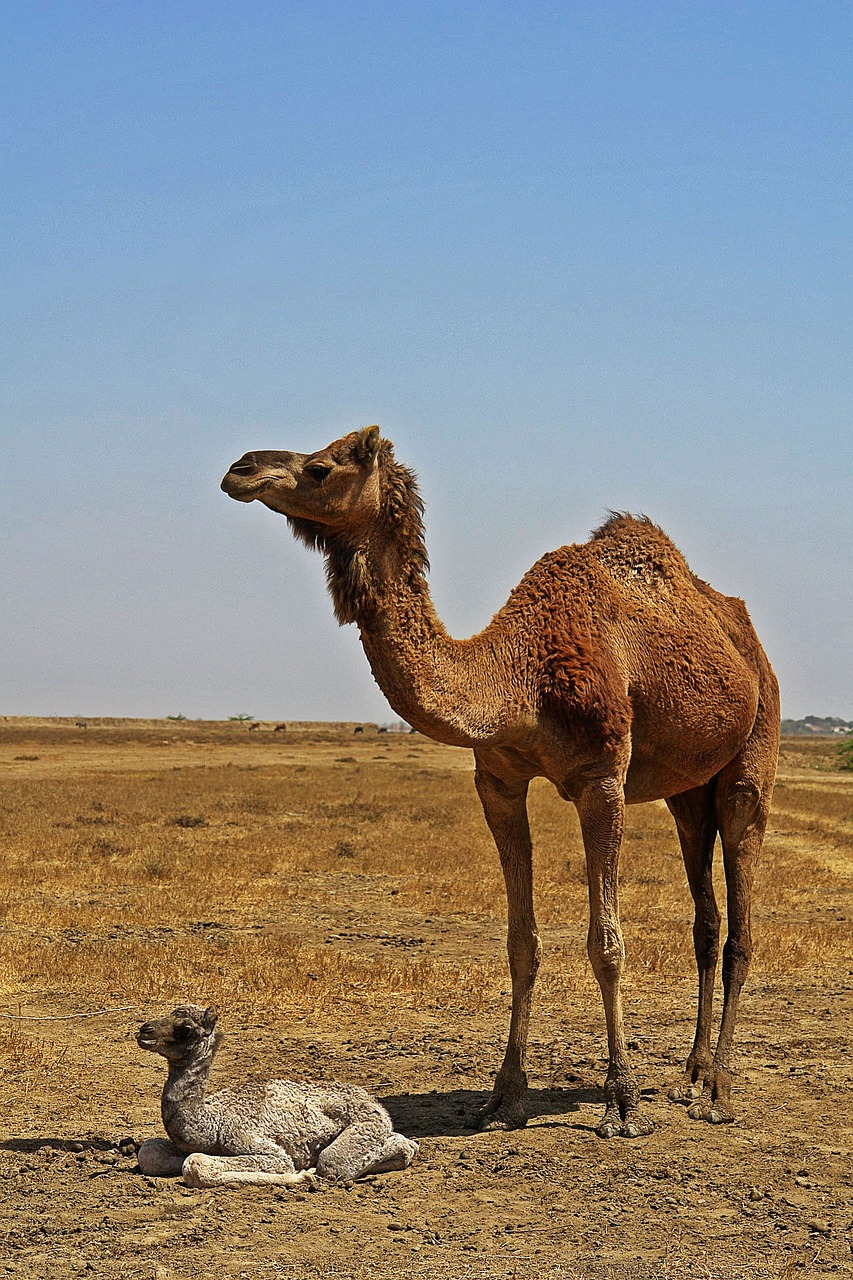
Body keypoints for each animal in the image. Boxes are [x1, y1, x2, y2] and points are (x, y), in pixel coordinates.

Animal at [133, 998, 417, 1187]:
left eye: (185, 1029)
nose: (144, 1030)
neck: (212, 1124)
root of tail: (375, 1103)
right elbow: (149, 1152)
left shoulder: (261, 1147)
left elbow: (195, 1164)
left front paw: (303, 1175)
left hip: (366, 1123)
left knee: (335, 1162)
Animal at [220, 424, 778, 1136]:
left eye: (320, 468)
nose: (241, 468)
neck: (517, 677)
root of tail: (746, 638)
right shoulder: (499, 780)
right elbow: (520, 941)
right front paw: (503, 1094)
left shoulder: (602, 777)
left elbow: (606, 944)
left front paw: (621, 1100)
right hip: (688, 791)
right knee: (705, 918)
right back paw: (691, 1073)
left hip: (752, 755)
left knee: (741, 916)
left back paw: (719, 1091)